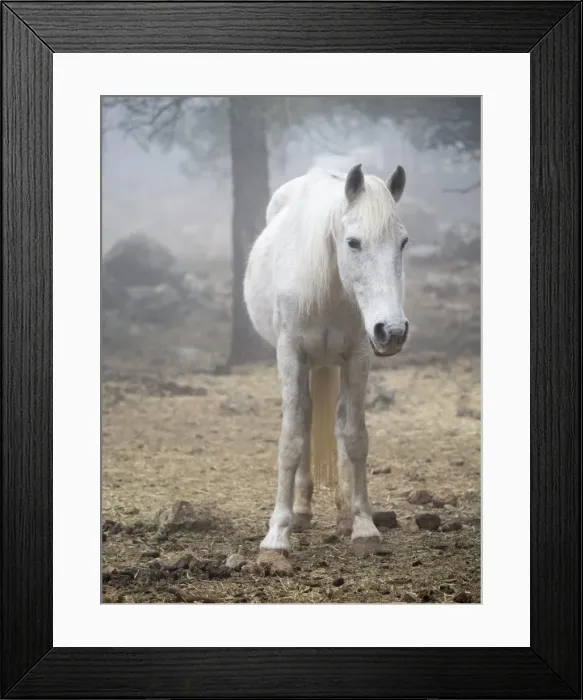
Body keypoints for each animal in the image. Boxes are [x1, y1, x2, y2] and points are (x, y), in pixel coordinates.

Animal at [243, 163, 409, 555]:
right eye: (353, 242)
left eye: (403, 242)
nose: (392, 331)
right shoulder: (290, 356)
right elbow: (292, 438)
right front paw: (277, 534)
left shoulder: (359, 356)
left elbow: (355, 438)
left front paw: (364, 526)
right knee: (304, 420)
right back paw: (301, 513)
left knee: (337, 424)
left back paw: (343, 513)